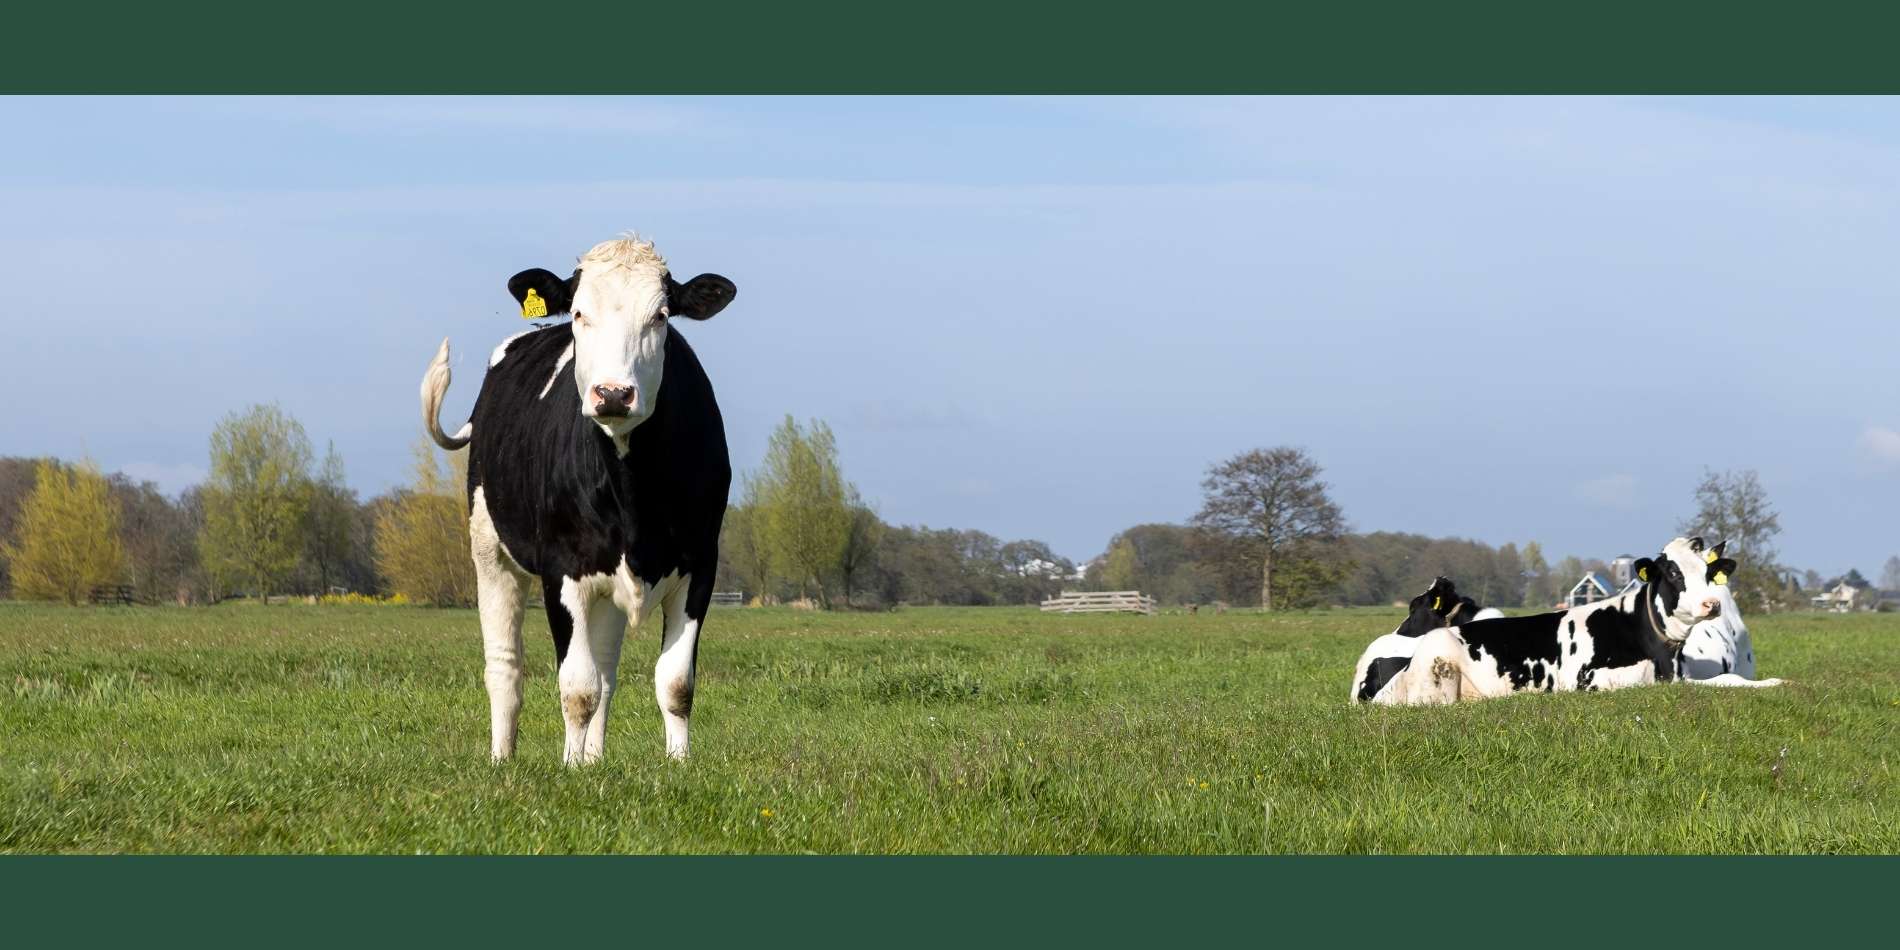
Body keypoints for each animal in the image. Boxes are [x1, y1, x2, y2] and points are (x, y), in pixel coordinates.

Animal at [419, 235, 737, 764]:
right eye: (579, 313)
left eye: (661, 316)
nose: (613, 394)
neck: (633, 492)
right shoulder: (560, 569)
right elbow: (577, 687)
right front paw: (569, 768)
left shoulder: (700, 565)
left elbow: (673, 684)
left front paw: (677, 764)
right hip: (489, 548)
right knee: (505, 668)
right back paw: (504, 757)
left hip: (606, 585)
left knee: (606, 669)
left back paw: (595, 758)